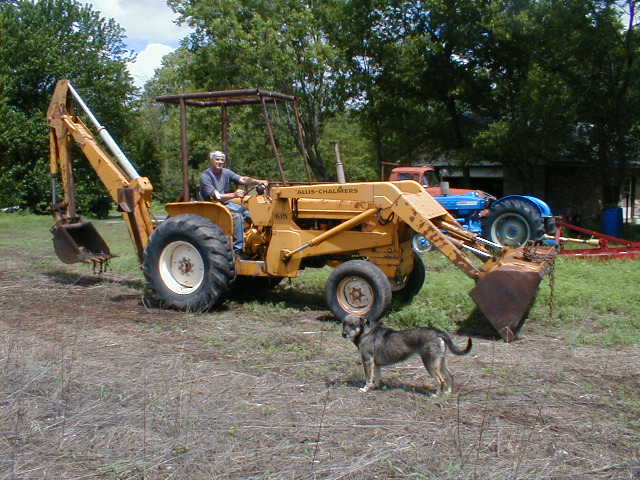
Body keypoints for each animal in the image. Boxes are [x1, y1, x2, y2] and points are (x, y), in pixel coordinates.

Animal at [342, 316, 472, 394]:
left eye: (353, 325)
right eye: (343, 324)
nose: (343, 334)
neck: (365, 332)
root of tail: (438, 332)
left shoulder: (367, 361)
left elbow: (368, 378)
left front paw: (365, 389)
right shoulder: (376, 364)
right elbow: (377, 378)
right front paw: (374, 387)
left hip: (430, 364)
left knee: (441, 380)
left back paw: (436, 395)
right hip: (440, 363)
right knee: (450, 376)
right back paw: (448, 393)